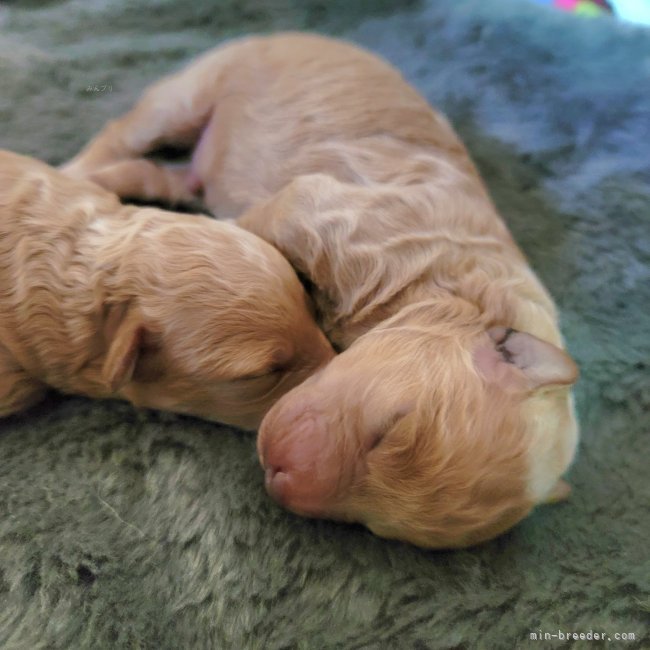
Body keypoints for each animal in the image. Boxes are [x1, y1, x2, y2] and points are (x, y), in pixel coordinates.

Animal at [60, 31, 576, 548]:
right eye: (393, 429)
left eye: (371, 526)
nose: (280, 476)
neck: (461, 287)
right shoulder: (318, 211)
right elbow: (252, 229)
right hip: (196, 89)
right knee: (124, 133)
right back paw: (76, 173)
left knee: (160, 175)